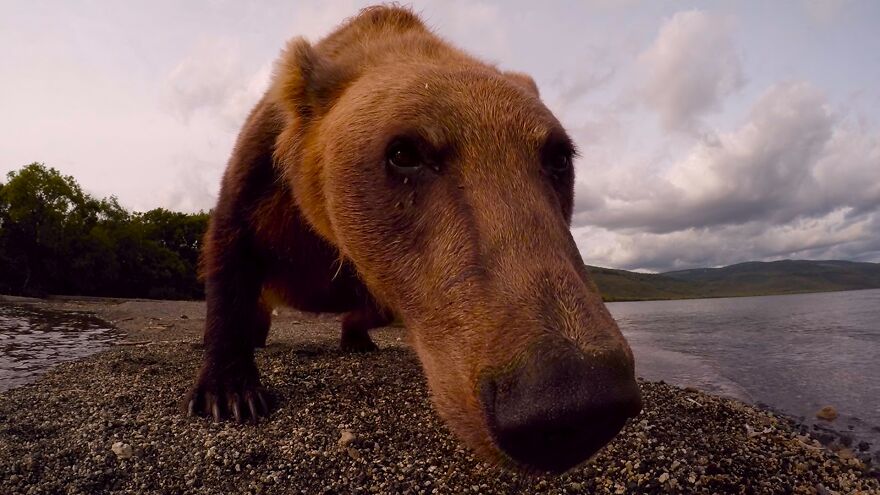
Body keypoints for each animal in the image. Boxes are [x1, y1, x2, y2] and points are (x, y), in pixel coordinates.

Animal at [186, 5, 641, 473]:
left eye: (559, 158)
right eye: (404, 152)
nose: (576, 398)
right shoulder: (262, 165)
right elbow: (228, 249)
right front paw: (232, 393)